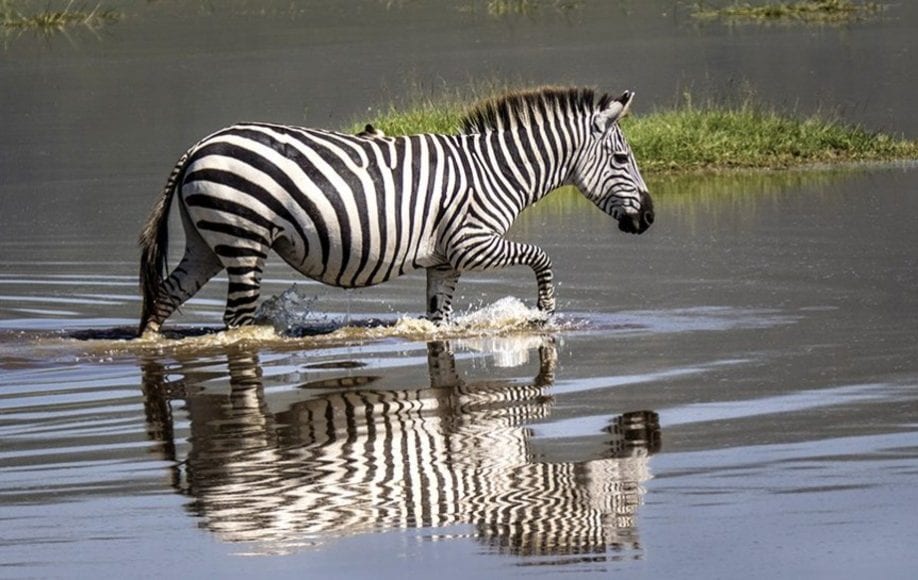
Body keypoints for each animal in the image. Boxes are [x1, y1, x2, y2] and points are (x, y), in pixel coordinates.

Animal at [138, 88, 656, 338]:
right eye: (621, 159)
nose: (649, 219)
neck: (498, 171)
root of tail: (199, 146)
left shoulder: (445, 261)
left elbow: (438, 321)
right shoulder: (473, 244)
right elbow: (543, 258)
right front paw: (544, 314)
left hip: (208, 241)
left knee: (164, 296)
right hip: (243, 240)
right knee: (236, 322)